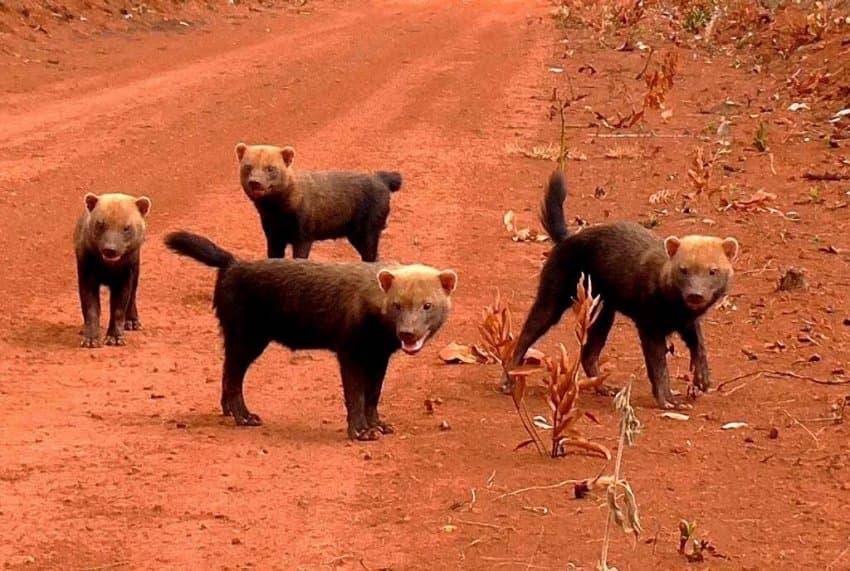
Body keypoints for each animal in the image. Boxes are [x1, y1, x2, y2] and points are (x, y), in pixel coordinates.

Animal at [166, 230, 458, 440]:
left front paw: (380, 425)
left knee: (227, 372)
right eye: (397, 304)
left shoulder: (378, 356)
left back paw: (228, 410)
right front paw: (362, 431)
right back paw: (245, 417)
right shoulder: (350, 351)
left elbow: (373, 394)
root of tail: (233, 264)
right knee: (233, 377)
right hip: (248, 337)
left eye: (427, 305)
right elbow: (355, 395)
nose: (408, 333)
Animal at [234, 143, 402, 262]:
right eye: (247, 166)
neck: (278, 213)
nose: (255, 182)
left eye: (270, 168)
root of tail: (382, 179)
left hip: (369, 229)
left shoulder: (303, 235)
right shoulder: (273, 236)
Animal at [504, 171, 736, 412]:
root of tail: (568, 238)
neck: (675, 310)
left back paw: (603, 387)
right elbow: (658, 366)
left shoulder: (687, 322)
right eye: (683, 269)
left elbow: (698, 343)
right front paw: (669, 400)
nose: (695, 294)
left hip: (602, 311)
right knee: (528, 332)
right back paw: (509, 379)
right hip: (555, 293)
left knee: (588, 353)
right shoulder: (650, 325)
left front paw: (702, 378)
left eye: (713, 270)